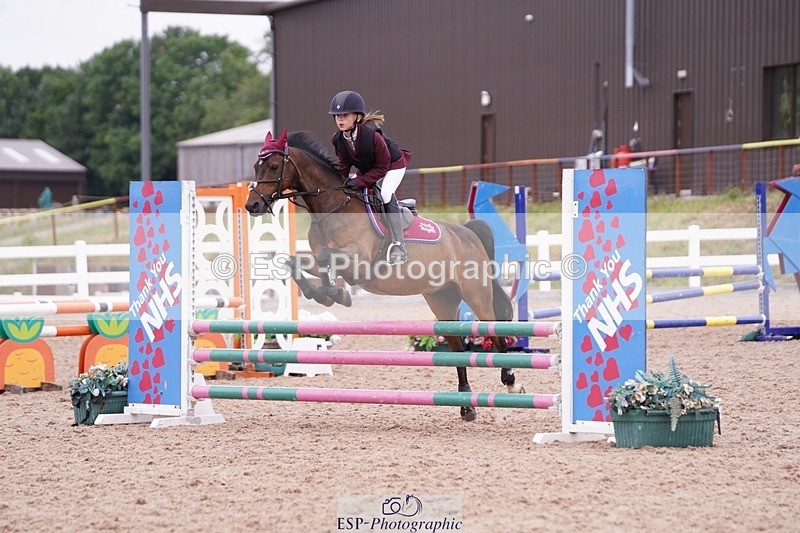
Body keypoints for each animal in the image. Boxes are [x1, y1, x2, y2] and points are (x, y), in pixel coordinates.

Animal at [245, 129, 523, 421]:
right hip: (442, 298)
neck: (333, 206)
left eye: (273, 166)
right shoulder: (328, 257)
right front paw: (328, 293)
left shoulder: (358, 260)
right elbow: (294, 262)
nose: (252, 205)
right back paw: (467, 405)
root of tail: (468, 233)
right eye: (256, 166)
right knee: (457, 347)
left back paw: (511, 381)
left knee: (495, 332)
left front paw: (336, 293)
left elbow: (324, 261)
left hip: (475, 293)